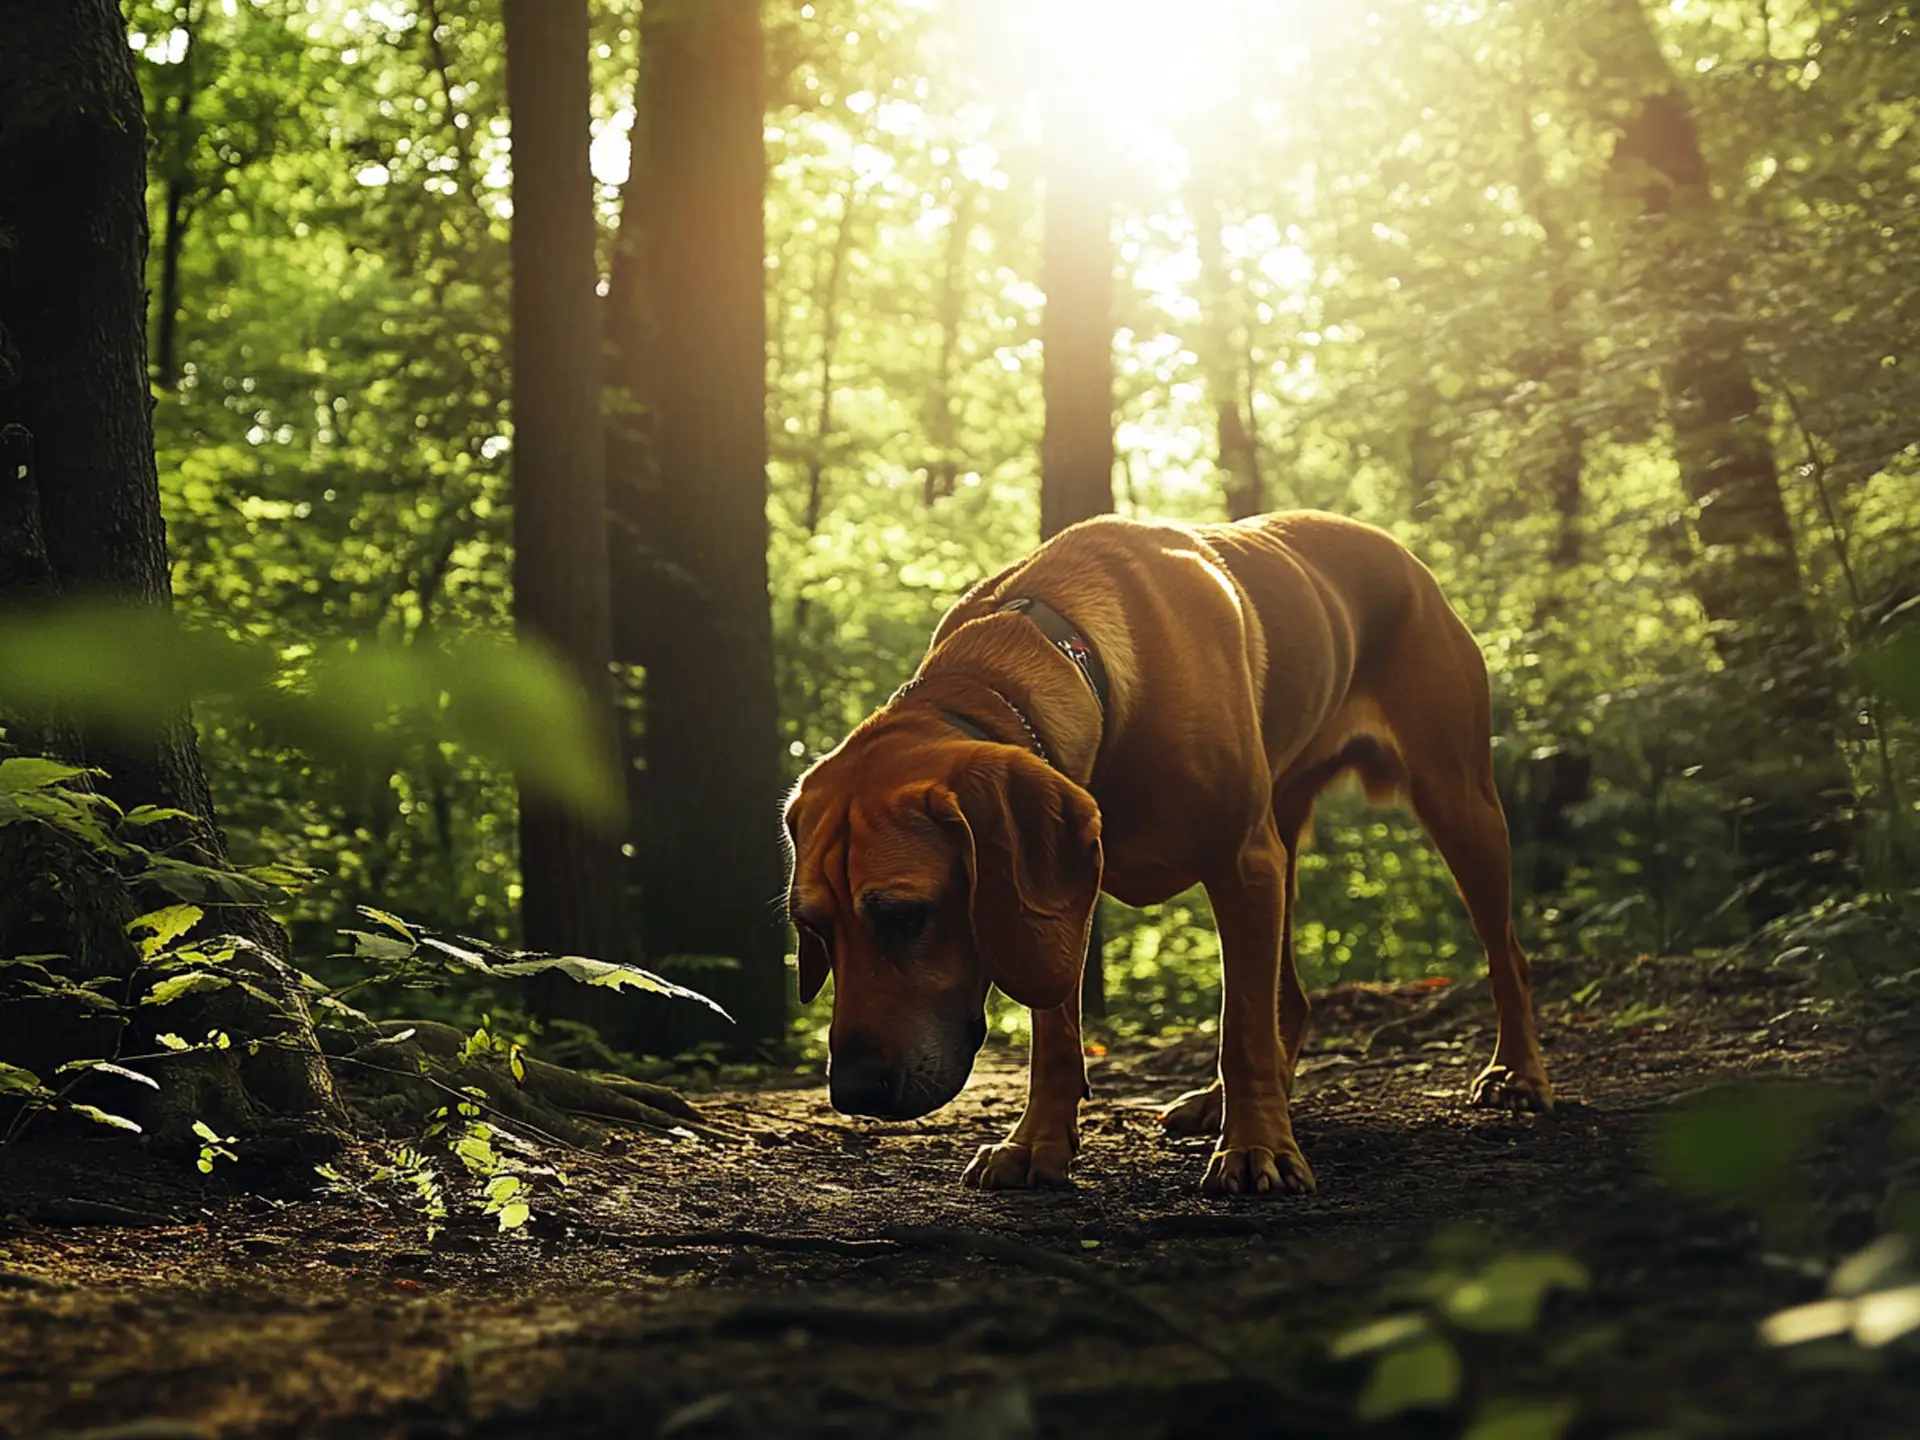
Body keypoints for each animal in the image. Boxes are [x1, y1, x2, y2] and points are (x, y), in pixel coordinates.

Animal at [787, 514, 1551, 1198]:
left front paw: (1257, 1148)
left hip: (1458, 803)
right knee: (1291, 997)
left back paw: (1517, 1076)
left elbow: (1239, 1028)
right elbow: (1055, 1029)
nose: (851, 1091)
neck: (1066, 658)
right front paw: (1037, 1144)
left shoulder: (1240, 862)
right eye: (814, 927)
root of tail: (1403, 555)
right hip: (1285, 839)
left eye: (907, 916)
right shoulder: (1062, 893)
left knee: (1505, 956)